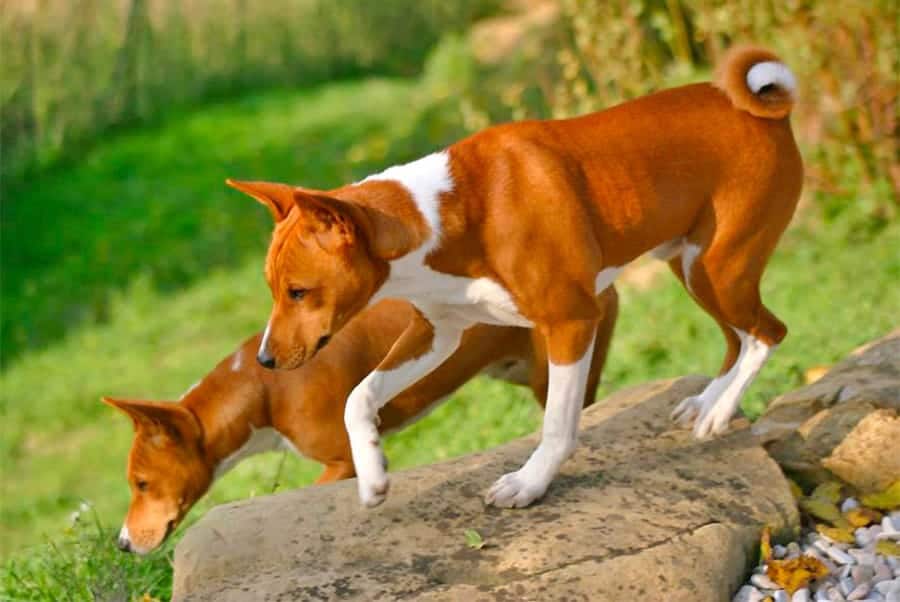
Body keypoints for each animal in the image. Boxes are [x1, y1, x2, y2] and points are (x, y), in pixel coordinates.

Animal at [229, 44, 804, 508]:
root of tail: (764, 114)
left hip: (718, 268)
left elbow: (557, 426)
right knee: (738, 337)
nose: (265, 360)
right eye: (274, 291)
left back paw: (719, 410)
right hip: (692, 266)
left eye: (298, 292)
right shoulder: (436, 333)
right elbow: (359, 397)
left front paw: (530, 483)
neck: (449, 214)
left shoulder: (571, 321)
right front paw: (373, 475)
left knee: (768, 334)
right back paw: (709, 402)